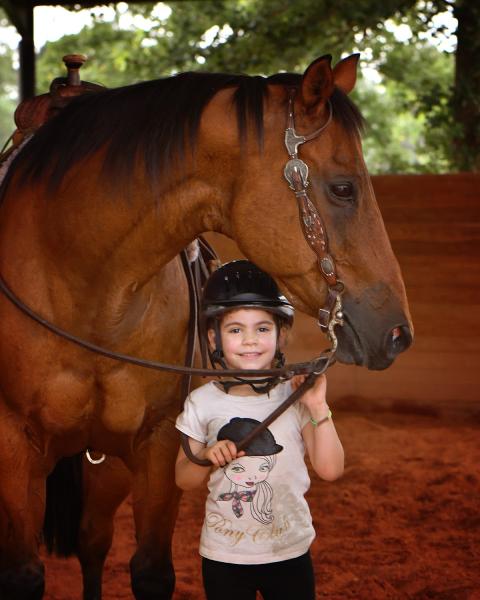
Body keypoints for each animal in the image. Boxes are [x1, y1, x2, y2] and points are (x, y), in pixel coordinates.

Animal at [0, 54, 412, 596]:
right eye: (343, 187)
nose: (398, 333)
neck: (81, 281)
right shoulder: (13, 446)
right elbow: (23, 575)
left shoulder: (157, 445)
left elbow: (151, 570)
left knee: (93, 541)